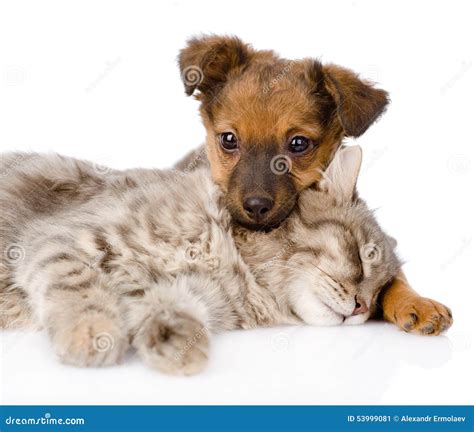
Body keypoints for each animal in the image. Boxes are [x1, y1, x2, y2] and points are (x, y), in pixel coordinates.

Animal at [0, 146, 400, 374]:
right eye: (362, 256)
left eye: (381, 293)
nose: (363, 307)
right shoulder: (62, 238)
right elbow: (80, 289)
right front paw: (93, 335)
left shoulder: (186, 291)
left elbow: (170, 306)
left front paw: (176, 344)